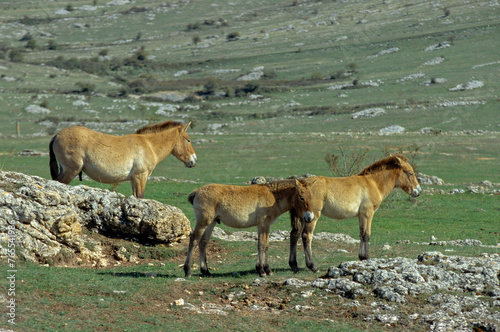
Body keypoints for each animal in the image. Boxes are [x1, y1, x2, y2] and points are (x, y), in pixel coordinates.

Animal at [48, 120, 197, 197]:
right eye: (188, 140)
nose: (194, 161)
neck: (148, 144)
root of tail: (57, 135)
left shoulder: (134, 179)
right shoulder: (141, 176)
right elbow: (140, 197)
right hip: (70, 171)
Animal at [184, 179, 316, 278]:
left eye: (312, 197)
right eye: (301, 197)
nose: (309, 217)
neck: (272, 196)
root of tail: (196, 192)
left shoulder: (266, 225)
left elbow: (266, 245)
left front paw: (267, 269)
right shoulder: (263, 224)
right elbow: (261, 245)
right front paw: (262, 271)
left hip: (211, 223)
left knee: (203, 242)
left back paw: (206, 271)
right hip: (204, 222)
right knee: (194, 240)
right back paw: (188, 271)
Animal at [290, 154, 422, 274]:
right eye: (410, 173)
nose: (418, 191)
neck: (373, 183)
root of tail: (301, 185)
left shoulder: (361, 215)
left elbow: (361, 234)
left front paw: (361, 257)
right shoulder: (367, 213)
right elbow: (366, 235)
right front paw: (366, 258)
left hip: (302, 216)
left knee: (294, 235)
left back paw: (294, 266)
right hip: (312, 216)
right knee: (306, 236)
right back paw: (312, 266)